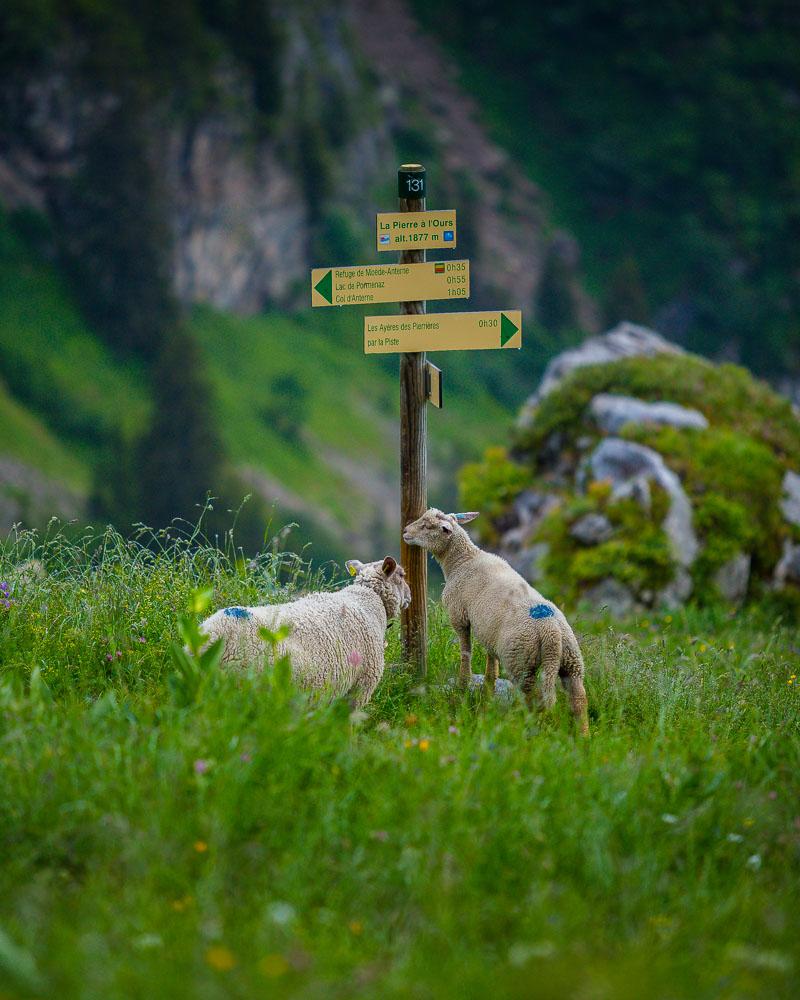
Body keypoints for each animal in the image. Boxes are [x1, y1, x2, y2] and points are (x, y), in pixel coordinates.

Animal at [406, 508, 588, 736]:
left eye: (427, 526)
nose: (405, 532)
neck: (463, 560)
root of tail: (551, 631)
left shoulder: (459, 616)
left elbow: (466, 652)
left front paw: (463, 684)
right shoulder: (489, 633)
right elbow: (491, 664)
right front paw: (488, 693)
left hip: (521, 661)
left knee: (532, 700)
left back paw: (526, 728)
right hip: (571, 659)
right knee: (578, 699)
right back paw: (583, 736)